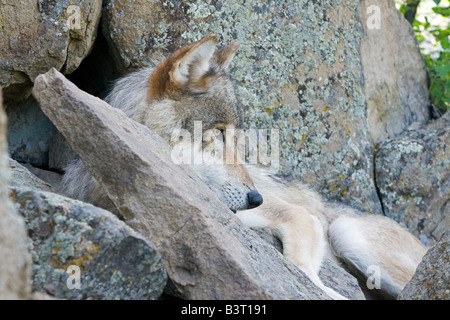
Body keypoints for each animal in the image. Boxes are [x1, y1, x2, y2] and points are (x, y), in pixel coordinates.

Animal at [61, 35, 428, 300]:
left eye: (237, 139)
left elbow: (303, 271)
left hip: (346, 233)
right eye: (221, 134)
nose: (256, 198)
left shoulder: (299, 216)